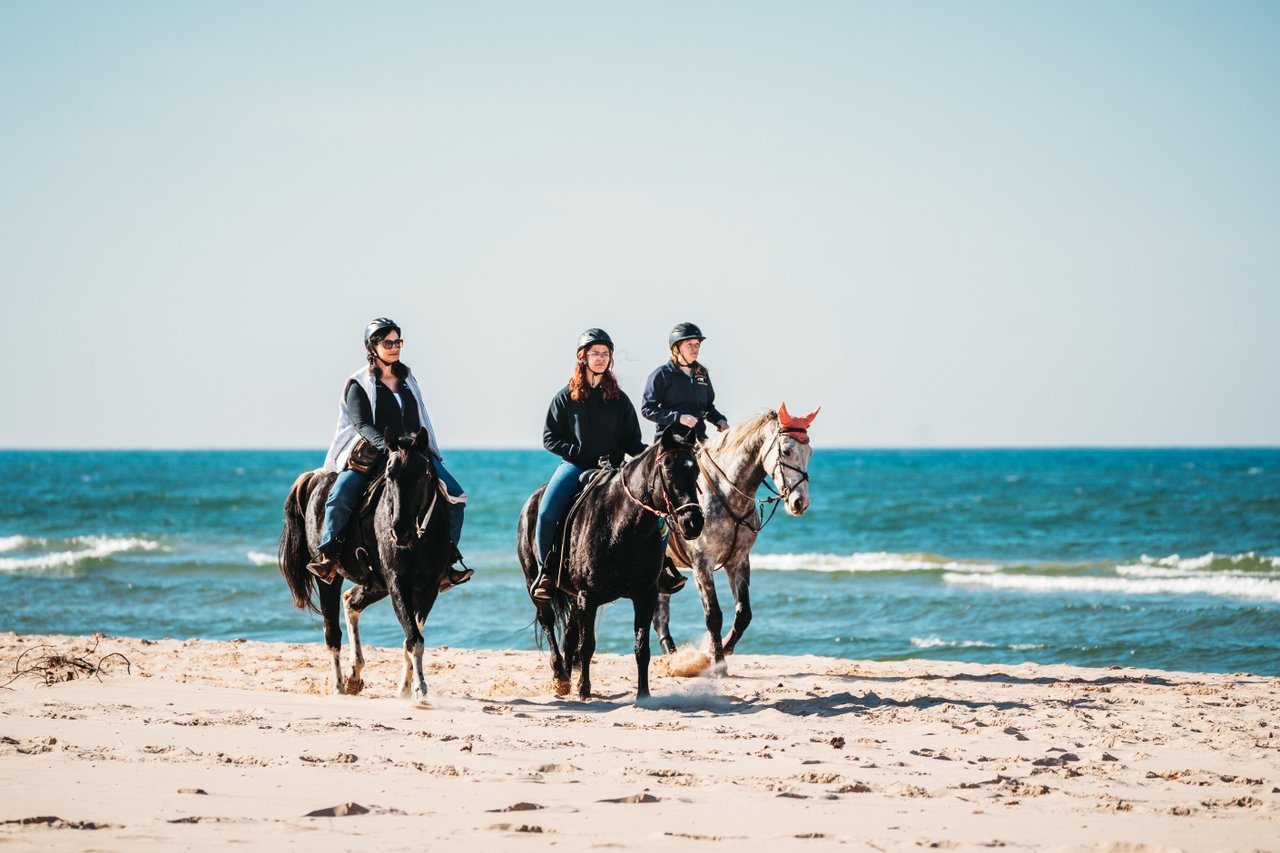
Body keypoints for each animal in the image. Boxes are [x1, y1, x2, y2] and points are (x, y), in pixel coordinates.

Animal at [277, 428, 453, 701]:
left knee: (351, 601)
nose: (399, 531)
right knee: (332, 633)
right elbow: (414, 638)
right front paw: (420, 692)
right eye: (389, 475)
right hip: (329, 577)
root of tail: (318, 478)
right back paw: (339, 687)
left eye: (424, 474)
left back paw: (354, 675)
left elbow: (412, 636)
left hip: (376, 584)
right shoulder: (397, 581)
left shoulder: (428, 587)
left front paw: (406, 689)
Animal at [517, 425, 706, 702]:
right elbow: (587, 646)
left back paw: (567, 677)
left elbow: (641, 647)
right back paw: (560, 677)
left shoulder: (645, 595)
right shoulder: (588, 596)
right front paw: (584, 690)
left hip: (572, 595)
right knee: (549, 624)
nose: (693, 522)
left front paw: (643, 694)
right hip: (537, 585)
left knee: (569, 634)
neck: (623, 525)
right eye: (669, 469)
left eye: (695, 471)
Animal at [652, 403, 819, 668]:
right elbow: (713, 615)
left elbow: (743, 614)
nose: (800, 502)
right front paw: (718, 662)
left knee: (660, 616)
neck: (725, 493)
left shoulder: (738, 560)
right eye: (786, 450)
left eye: (810, 453)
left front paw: (724, 648)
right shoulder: (702, 564)